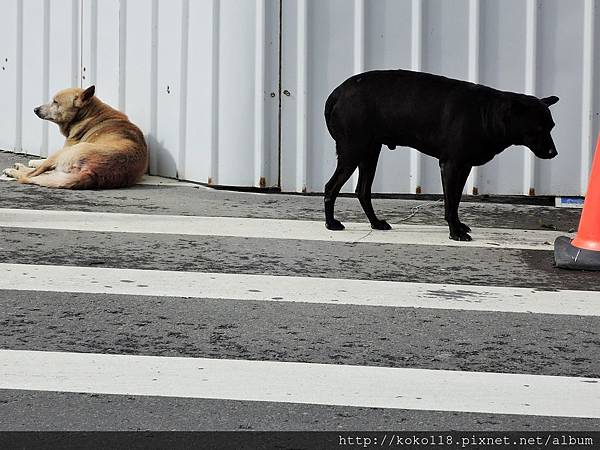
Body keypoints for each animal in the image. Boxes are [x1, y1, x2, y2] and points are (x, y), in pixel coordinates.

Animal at [2, 84, 148, 188]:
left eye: (55, 102)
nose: (35, 109)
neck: (89, 114)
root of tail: (92, 173)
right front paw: (33, 161)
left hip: (65, 152)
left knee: (31, 174)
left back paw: (13, 171)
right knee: (43, 173)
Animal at [324, 68, 556, 241]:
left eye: (552, 126)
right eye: (538, 129)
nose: (554, 153)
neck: (487, 112)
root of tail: (337, 93)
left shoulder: (464, 166)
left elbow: (455, 200)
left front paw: (458, 226)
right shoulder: (451, 165)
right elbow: (450, 202)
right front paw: (455, 232)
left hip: (370, 152)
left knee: (363, 191)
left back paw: (375, 223)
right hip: (352, 152)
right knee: (331, 187)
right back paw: (331, 223)